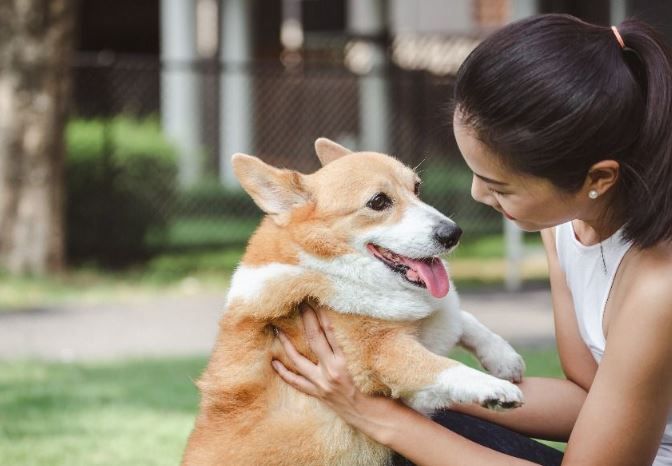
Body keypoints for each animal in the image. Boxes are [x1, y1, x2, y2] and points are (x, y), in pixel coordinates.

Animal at [182, 138, 524, 466]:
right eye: (378, 202)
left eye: (417, 188)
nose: (453, 233)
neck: (330, 266)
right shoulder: (382, 354)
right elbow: (441, 365)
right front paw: (494, 388)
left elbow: (461, 317)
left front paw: (503, 358)